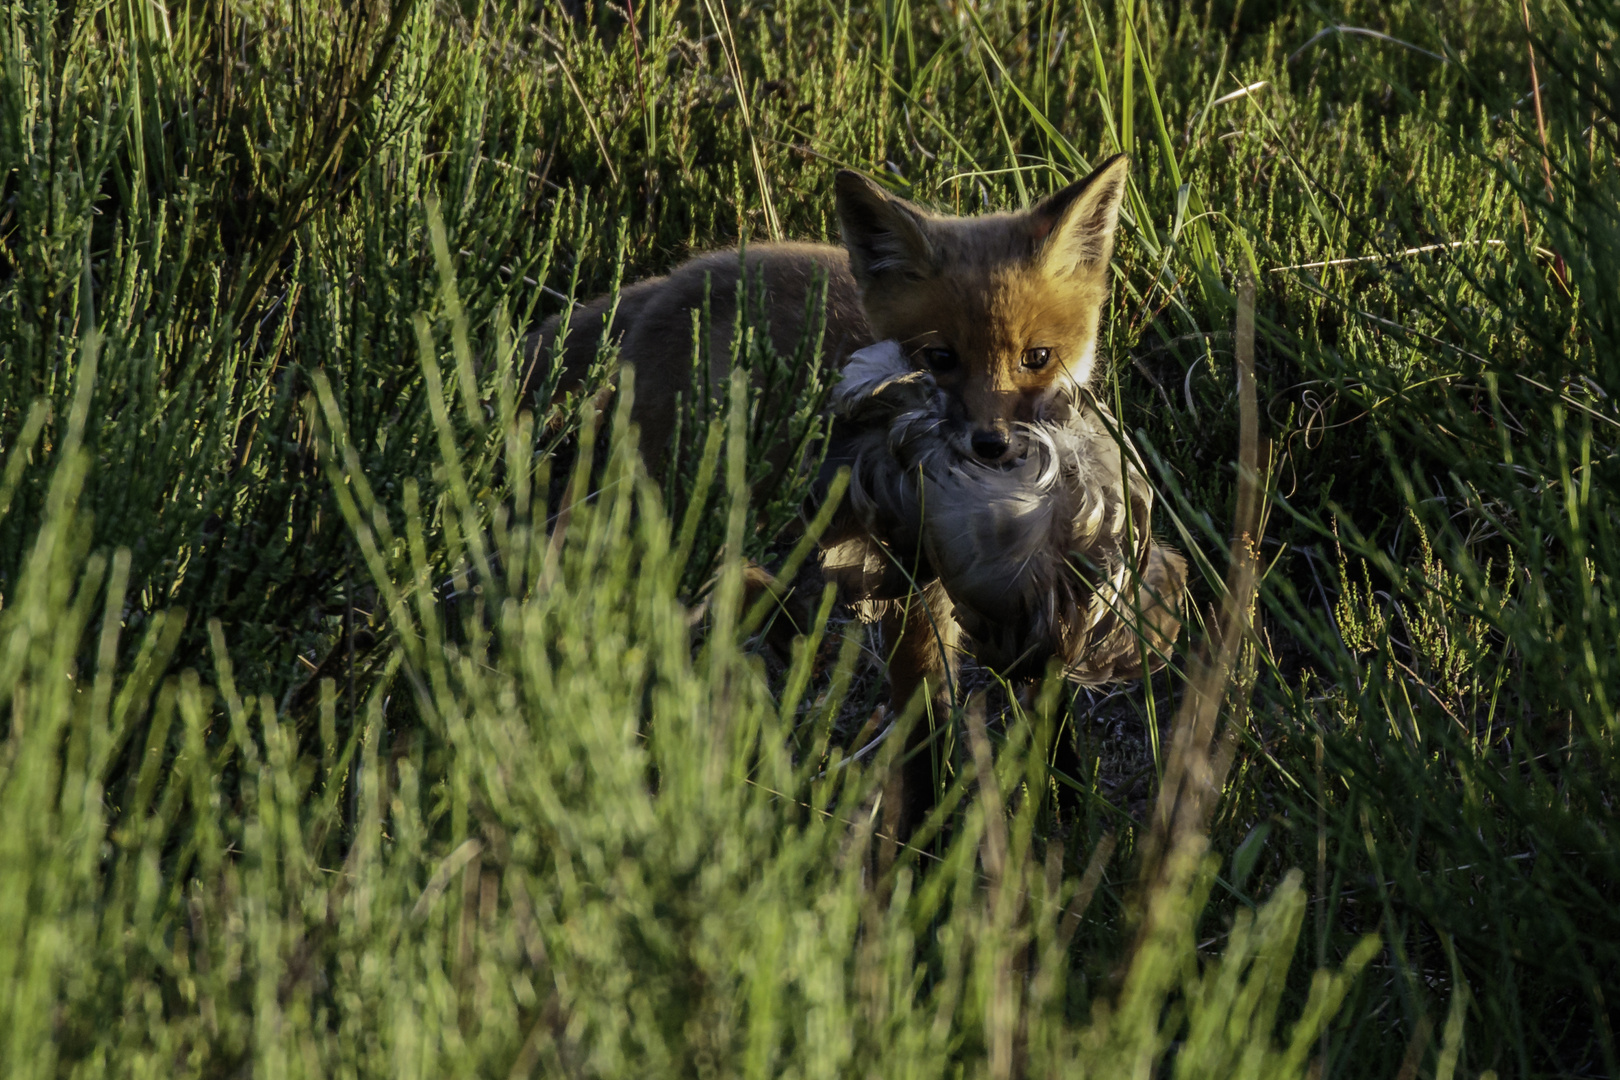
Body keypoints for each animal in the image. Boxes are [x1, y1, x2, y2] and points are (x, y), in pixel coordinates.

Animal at [524, 153, 1185, 819]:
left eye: (1037, 357)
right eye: (939, 358)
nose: (991, 447)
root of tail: (668, 281)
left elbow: (1046, 702)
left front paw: (1065, 806)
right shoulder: (917, 581)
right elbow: (925, 715)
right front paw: (923, 824)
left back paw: (784, 624)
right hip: (692, 497)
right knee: (662, 573)